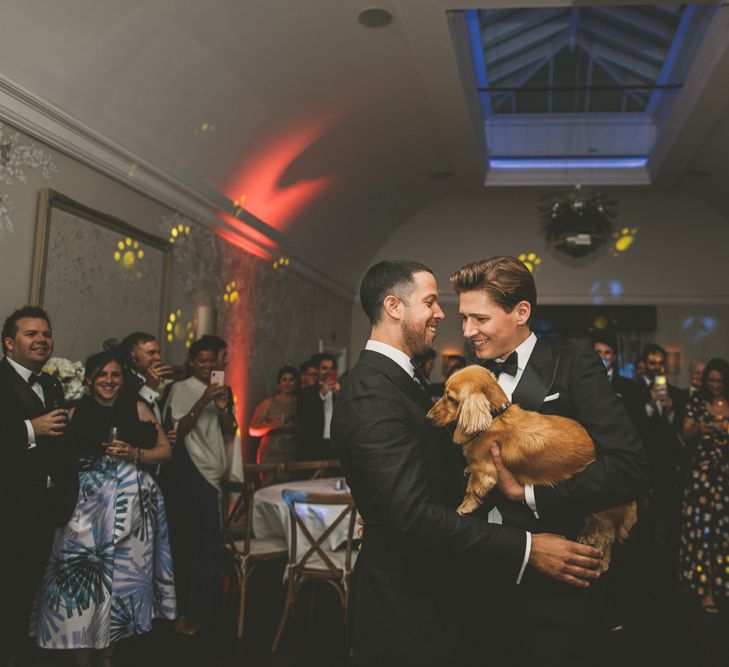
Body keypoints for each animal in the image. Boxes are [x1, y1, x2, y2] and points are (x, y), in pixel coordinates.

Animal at [426, 362, 636, 572]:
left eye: (450, 397)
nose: (427, 418)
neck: (495, 417)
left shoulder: (485, 470)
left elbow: (473, 488)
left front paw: (465, 507)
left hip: (601, 512)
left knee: (605, 537)